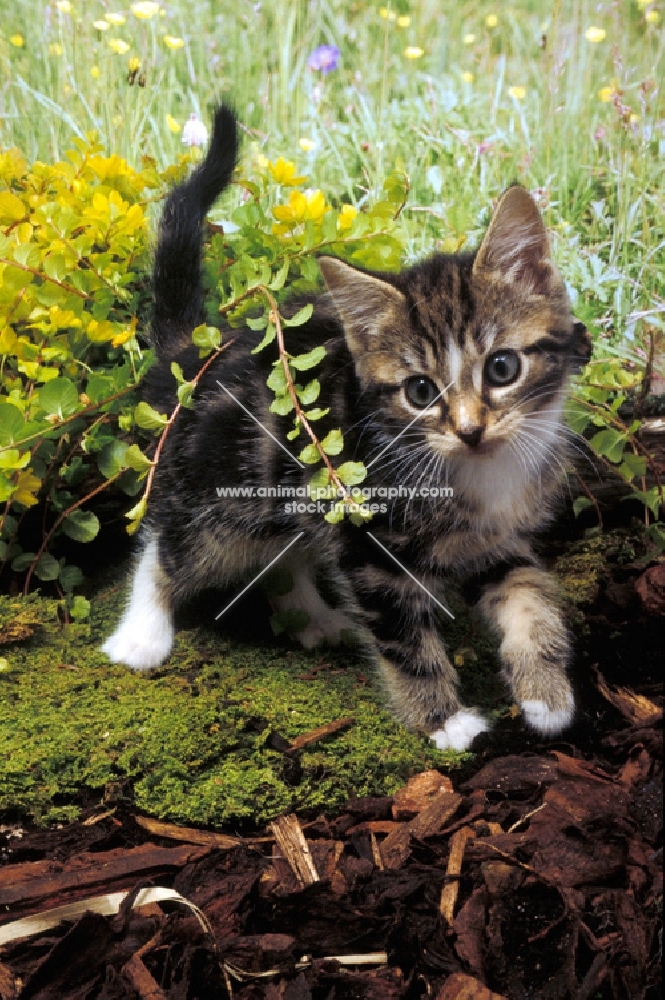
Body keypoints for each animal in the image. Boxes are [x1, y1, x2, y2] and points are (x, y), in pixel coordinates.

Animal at [104, 109, 592, 752]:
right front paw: (445, 720)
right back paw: (142, 633)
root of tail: (190, 353)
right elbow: (403, 639)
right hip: (219, 493)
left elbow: (529, 592)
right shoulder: (371, 547)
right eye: (419, 392)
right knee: (169, 546)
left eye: (503, 368)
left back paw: (313, 618)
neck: (479, 468)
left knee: (283, 553)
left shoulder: (496, 536)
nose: (470, 430)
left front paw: (545, 694)